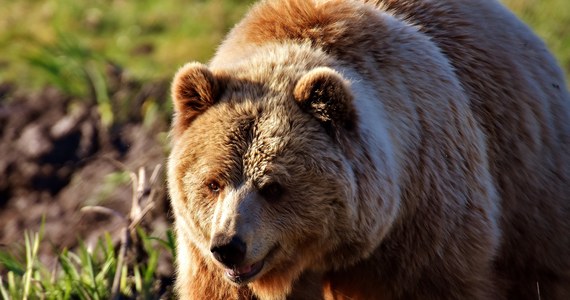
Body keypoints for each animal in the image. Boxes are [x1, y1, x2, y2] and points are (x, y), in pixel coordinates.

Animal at [168, 0, 568, 300]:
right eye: (213, 183)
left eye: (273, 187)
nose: (229, 246)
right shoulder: (203, 256)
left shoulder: (425, 218)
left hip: (529, 186)